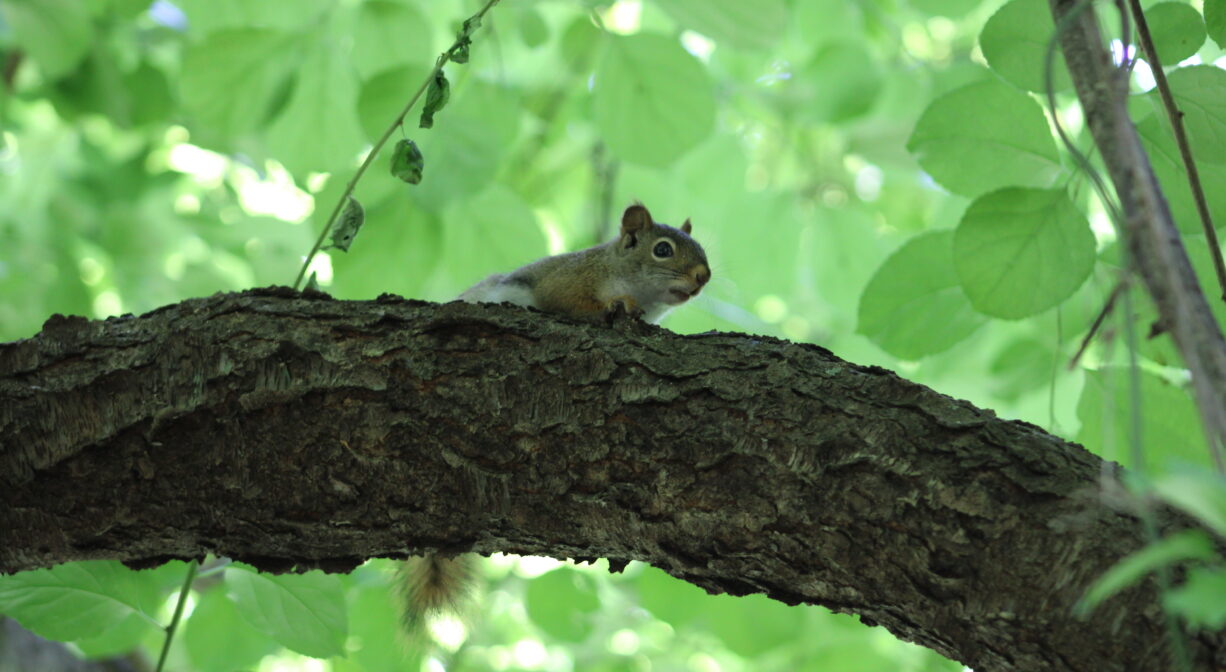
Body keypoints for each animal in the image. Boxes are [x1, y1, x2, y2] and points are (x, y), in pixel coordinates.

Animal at [397, 203, 711, 636]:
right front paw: (616, 306)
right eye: (662, 250)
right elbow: (573, 303)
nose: (703, 276)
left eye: (701, 250)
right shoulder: (568, 280)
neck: (616, 268)